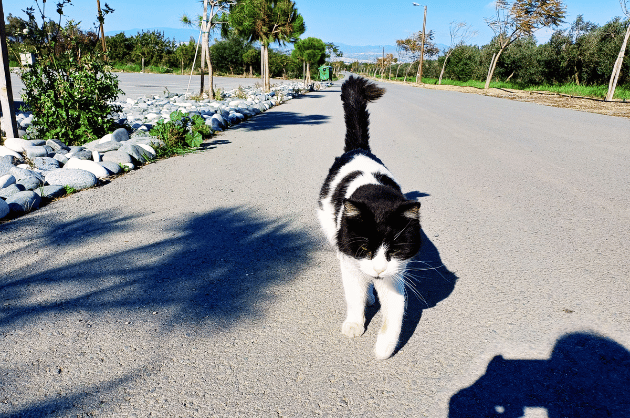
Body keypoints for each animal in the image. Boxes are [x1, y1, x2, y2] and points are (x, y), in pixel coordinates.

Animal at [318, 75, 422, 360]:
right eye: (365, 248)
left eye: (395, 250)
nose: (377, 269)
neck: (376, 194)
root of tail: (359, 149)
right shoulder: (351, 258)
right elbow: (354, 294)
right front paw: (354, 323)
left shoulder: (396, 272)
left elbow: (395, 311)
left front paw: (384, 348)